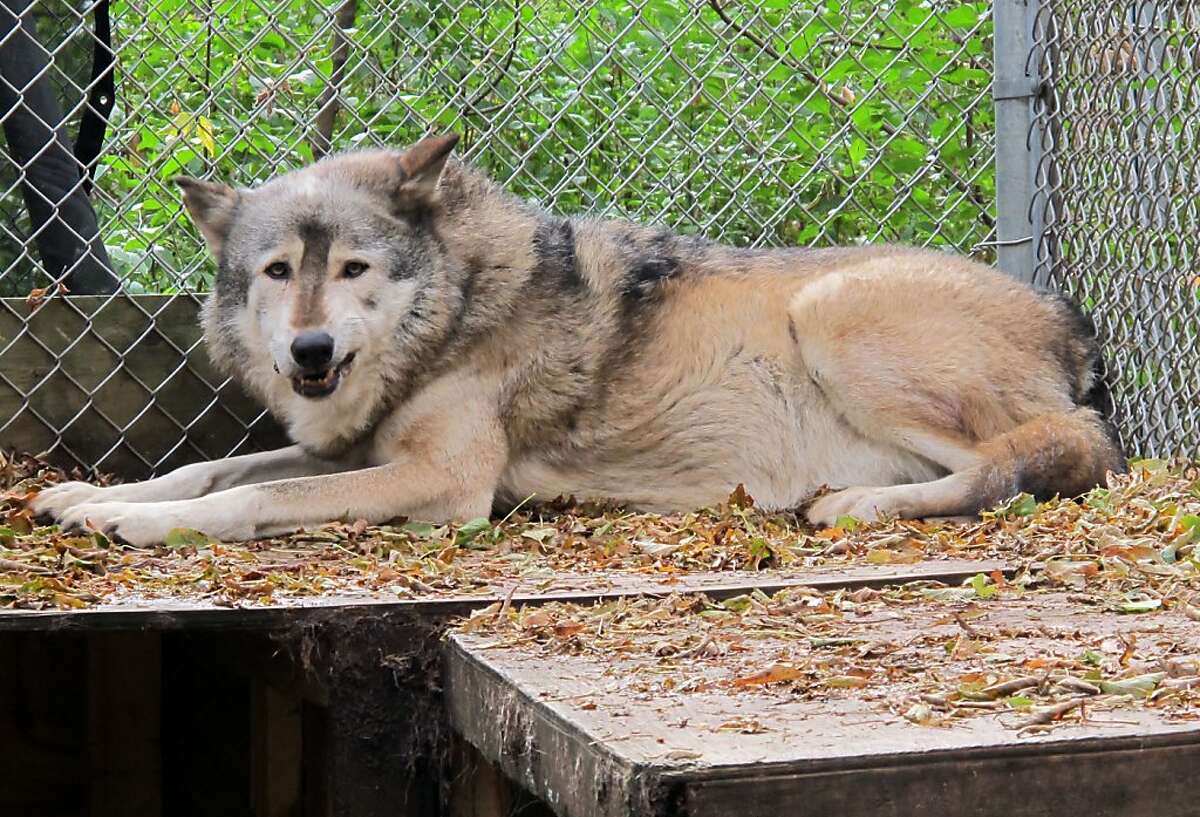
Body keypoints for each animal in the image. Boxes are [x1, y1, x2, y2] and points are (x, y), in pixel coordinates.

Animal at [31, 134, 1125, 546]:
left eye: (351, 270)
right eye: (275, 273)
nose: (307, 353)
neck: (457, 309)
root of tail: (1068, 316)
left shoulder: (445, 483)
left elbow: (255, 494)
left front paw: (131, 523)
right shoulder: (355, 449)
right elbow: (209, 469)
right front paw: (89, 497)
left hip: (833, 311)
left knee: (1053, 453)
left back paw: (858, 503)